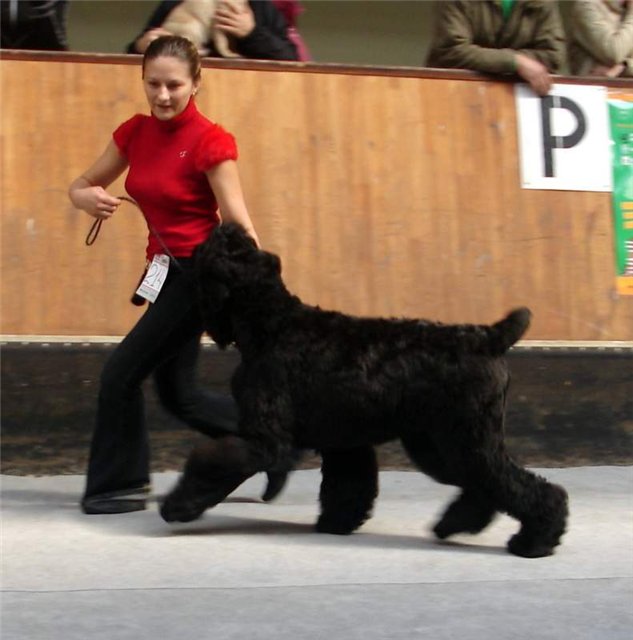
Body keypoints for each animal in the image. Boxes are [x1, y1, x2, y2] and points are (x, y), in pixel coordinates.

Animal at [159, 222, 568, 556]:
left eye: (216, 250)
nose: (225, 225)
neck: (271, 323)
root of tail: (487, 337)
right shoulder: (344, 441)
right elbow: (348, 485)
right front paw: (337, 523)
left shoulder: (264, 439)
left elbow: (215, 461)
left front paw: (177, 506)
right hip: (438, 444)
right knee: (484, 485)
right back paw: (456, 524)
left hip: (464, 438)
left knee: (520, 485)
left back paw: (534, 541)